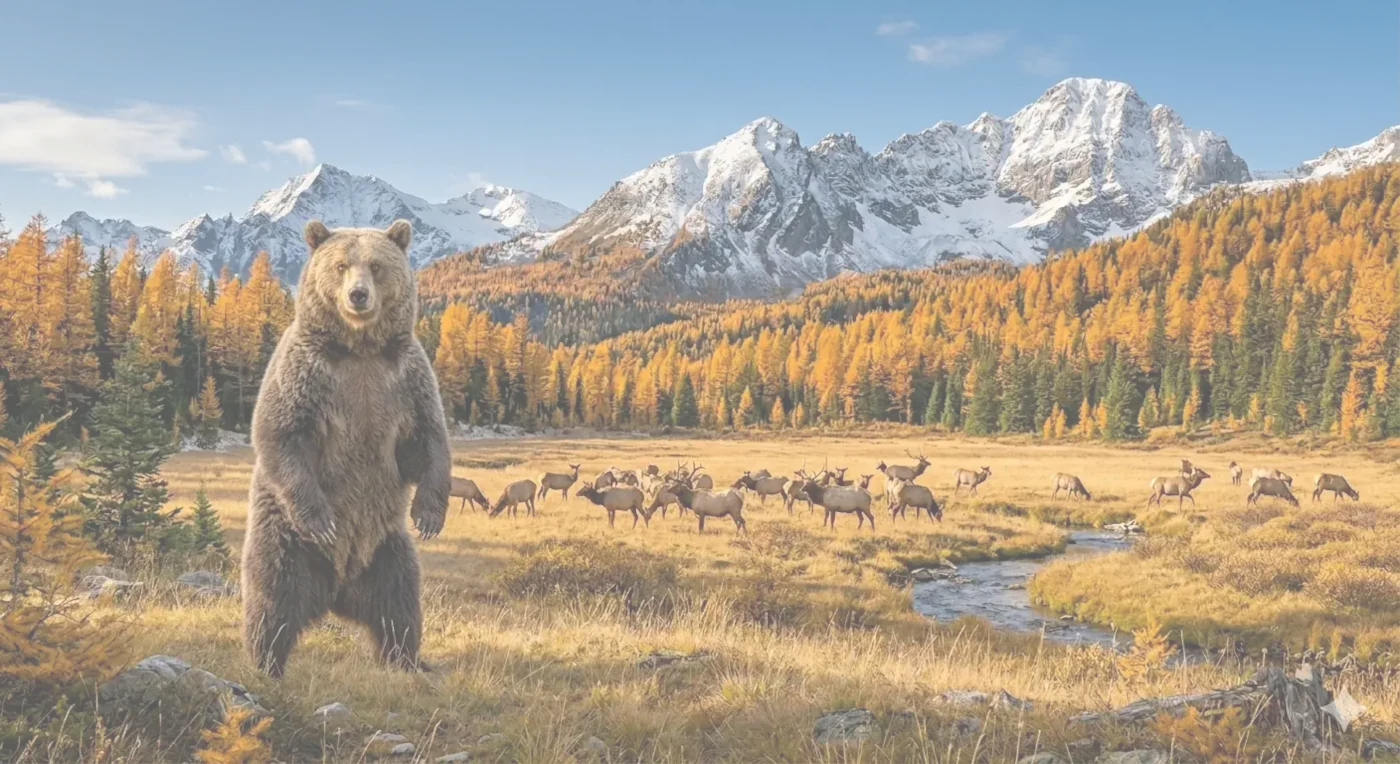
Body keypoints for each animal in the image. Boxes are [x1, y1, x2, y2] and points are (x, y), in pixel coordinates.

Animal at [241, 218, 451, 679]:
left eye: (375, 265)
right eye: (340, 265)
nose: (358, 294)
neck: (359, 349)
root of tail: (339, 588)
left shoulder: (404, 380)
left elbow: (427, 440)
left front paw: (429, 516)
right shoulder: (306, 373)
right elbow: (281, 432)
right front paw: (322, 521)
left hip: (387, 546)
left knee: (399, 604)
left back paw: (408, 662)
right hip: (285, 537)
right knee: (273, 596)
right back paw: (266, 663)